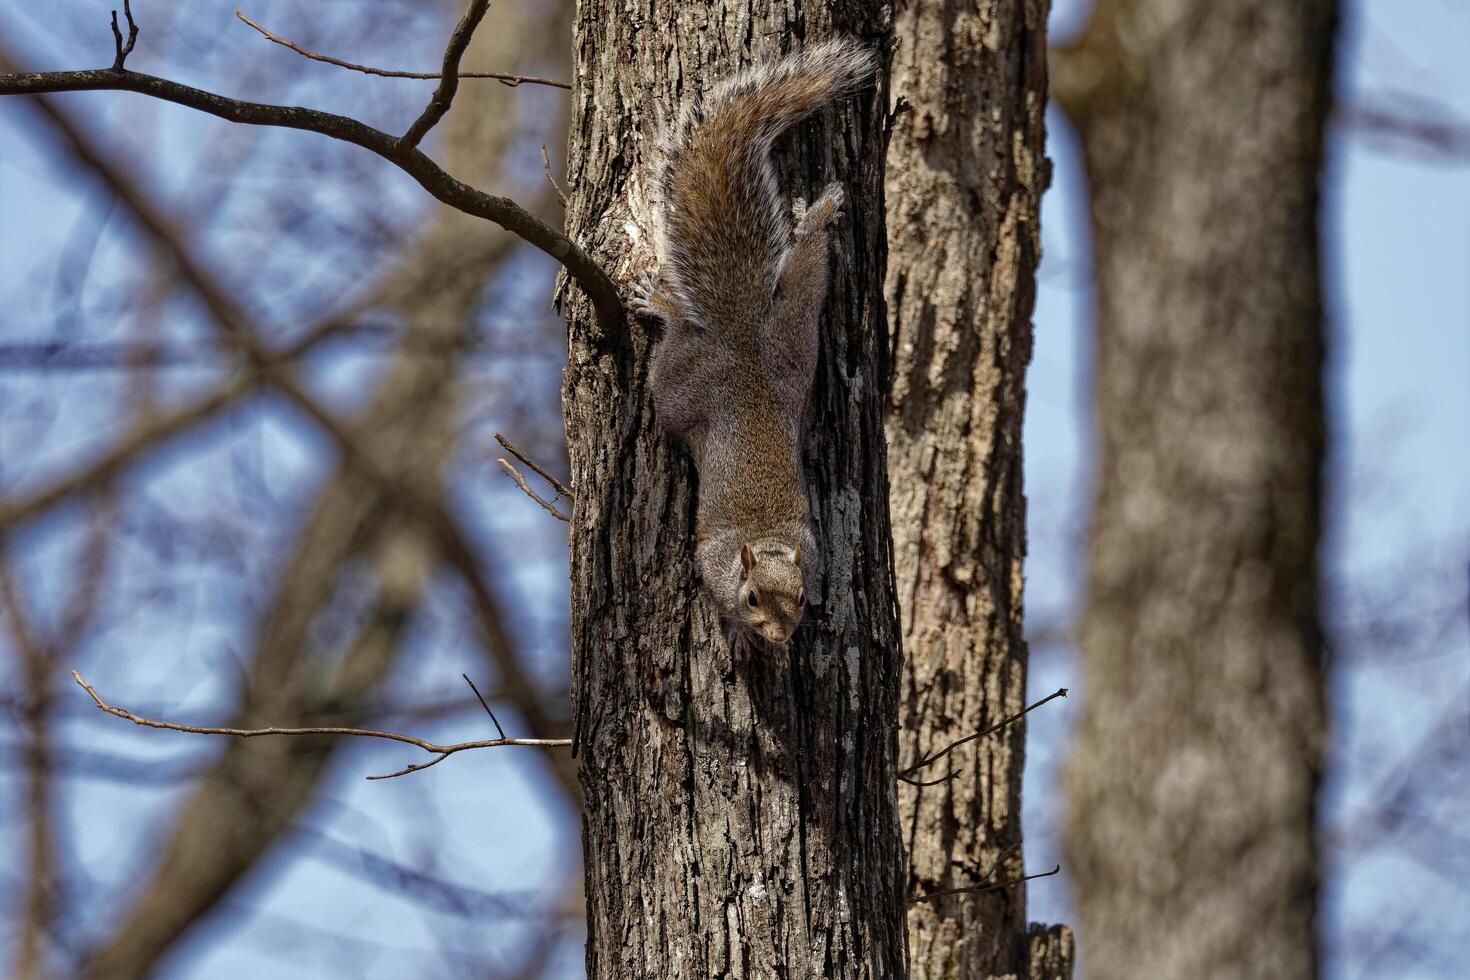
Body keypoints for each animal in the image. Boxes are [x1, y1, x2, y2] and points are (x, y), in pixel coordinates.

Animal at [629, 38, 870, 646]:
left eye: (803, 597)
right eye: (753, 596)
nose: (781, 638)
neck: (764, 539)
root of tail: (740, 340)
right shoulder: (711, 564)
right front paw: (741, 633)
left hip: (794, 335)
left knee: (808, 269)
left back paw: (819, 216)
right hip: (683, 384)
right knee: (675, 351)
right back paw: (665, 305)